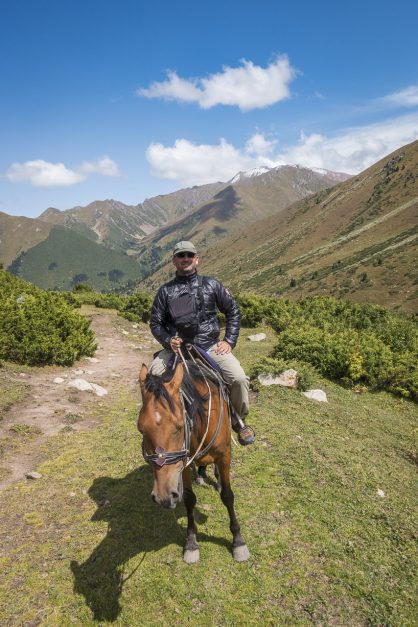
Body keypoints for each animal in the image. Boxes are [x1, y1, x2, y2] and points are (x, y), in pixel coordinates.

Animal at [137, 358, 250, 564]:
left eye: (179, 426)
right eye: (141, 428)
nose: (163, 496)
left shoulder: (224, 455)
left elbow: (228, 496)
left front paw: (238, 541)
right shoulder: (182, 464)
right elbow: (189, 499)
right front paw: (191, 542)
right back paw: (201, 473)